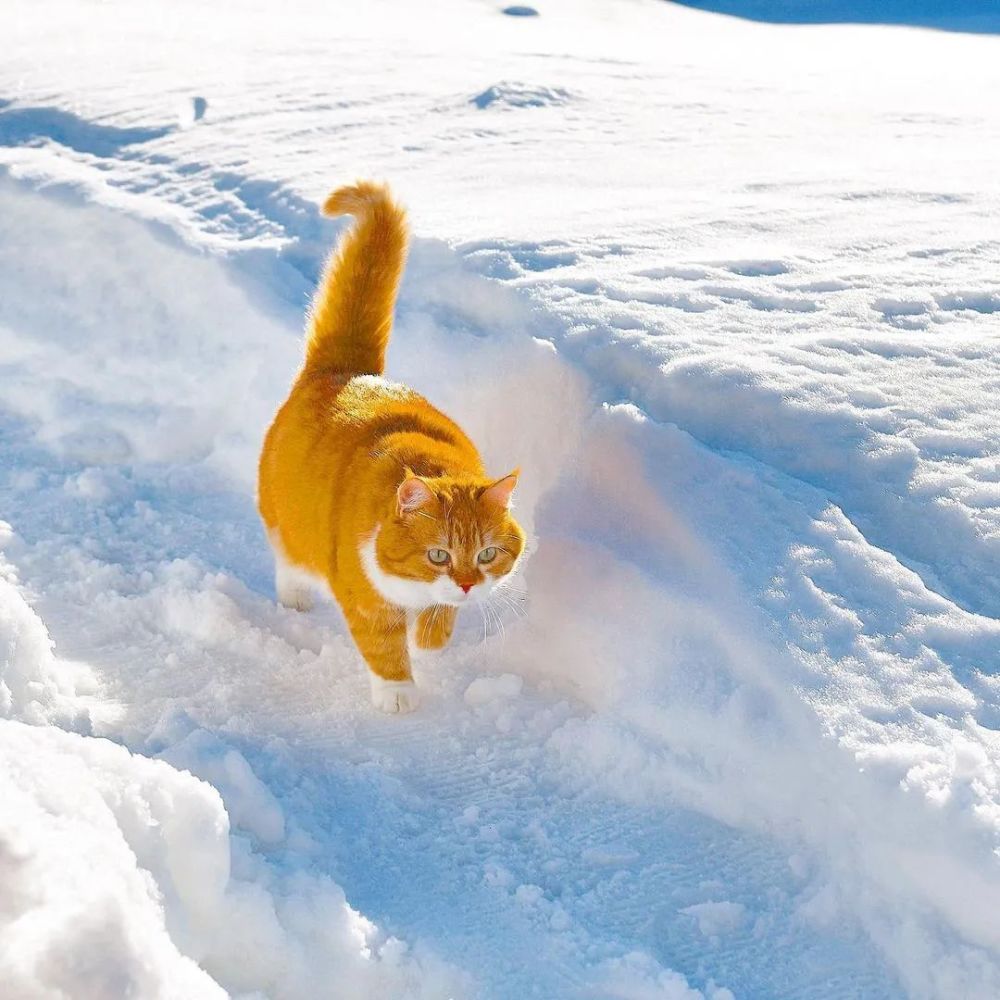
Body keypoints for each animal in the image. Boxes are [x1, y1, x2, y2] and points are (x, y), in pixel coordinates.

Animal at [256, 180, 524, 712]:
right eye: (438, 555)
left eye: (486, 555)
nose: (467, 583)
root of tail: (348, 370)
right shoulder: (363, 595)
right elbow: (382, 645)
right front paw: (398, 692)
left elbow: (439, 619)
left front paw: (430, 640)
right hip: (286, 520)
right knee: (287, 558)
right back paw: (295, 596)